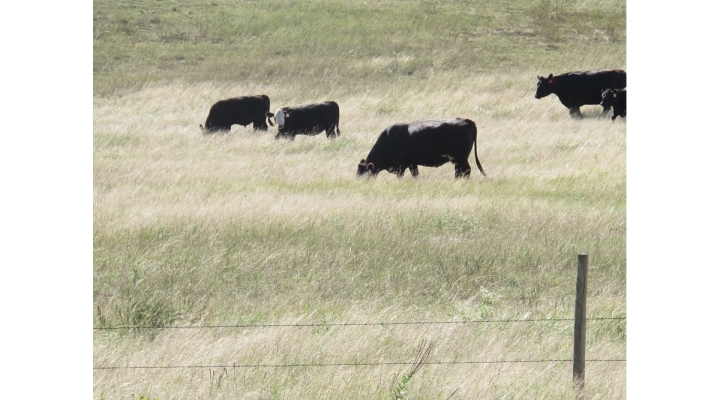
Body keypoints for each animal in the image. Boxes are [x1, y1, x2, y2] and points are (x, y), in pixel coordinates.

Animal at [358, 116, 486, 177]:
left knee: (466, 170)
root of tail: (466, 120)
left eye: (363, 174)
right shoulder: (412, 164)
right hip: (457, 160)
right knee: (459, 172)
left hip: (461, 159)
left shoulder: (400, 167)